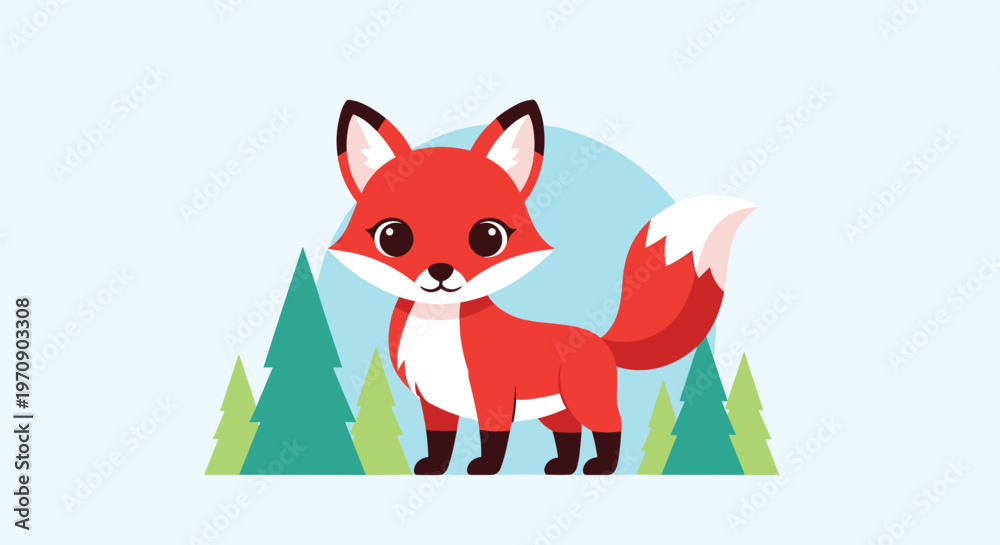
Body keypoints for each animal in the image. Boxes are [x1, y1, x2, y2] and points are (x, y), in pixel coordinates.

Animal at [329, 99, 755, 475]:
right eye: (392, 236)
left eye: (488, 237)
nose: (440, 271)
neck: (440, 334)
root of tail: (599, 339)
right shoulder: (435, 403)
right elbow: (439, 441)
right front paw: (434, 468)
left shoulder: (495, 396)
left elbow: (493, 438)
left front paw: (485, 469)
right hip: (556, 411)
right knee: (570, 435)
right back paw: (564, 468)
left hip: (587, 401)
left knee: (610, 428)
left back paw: (602, 467)